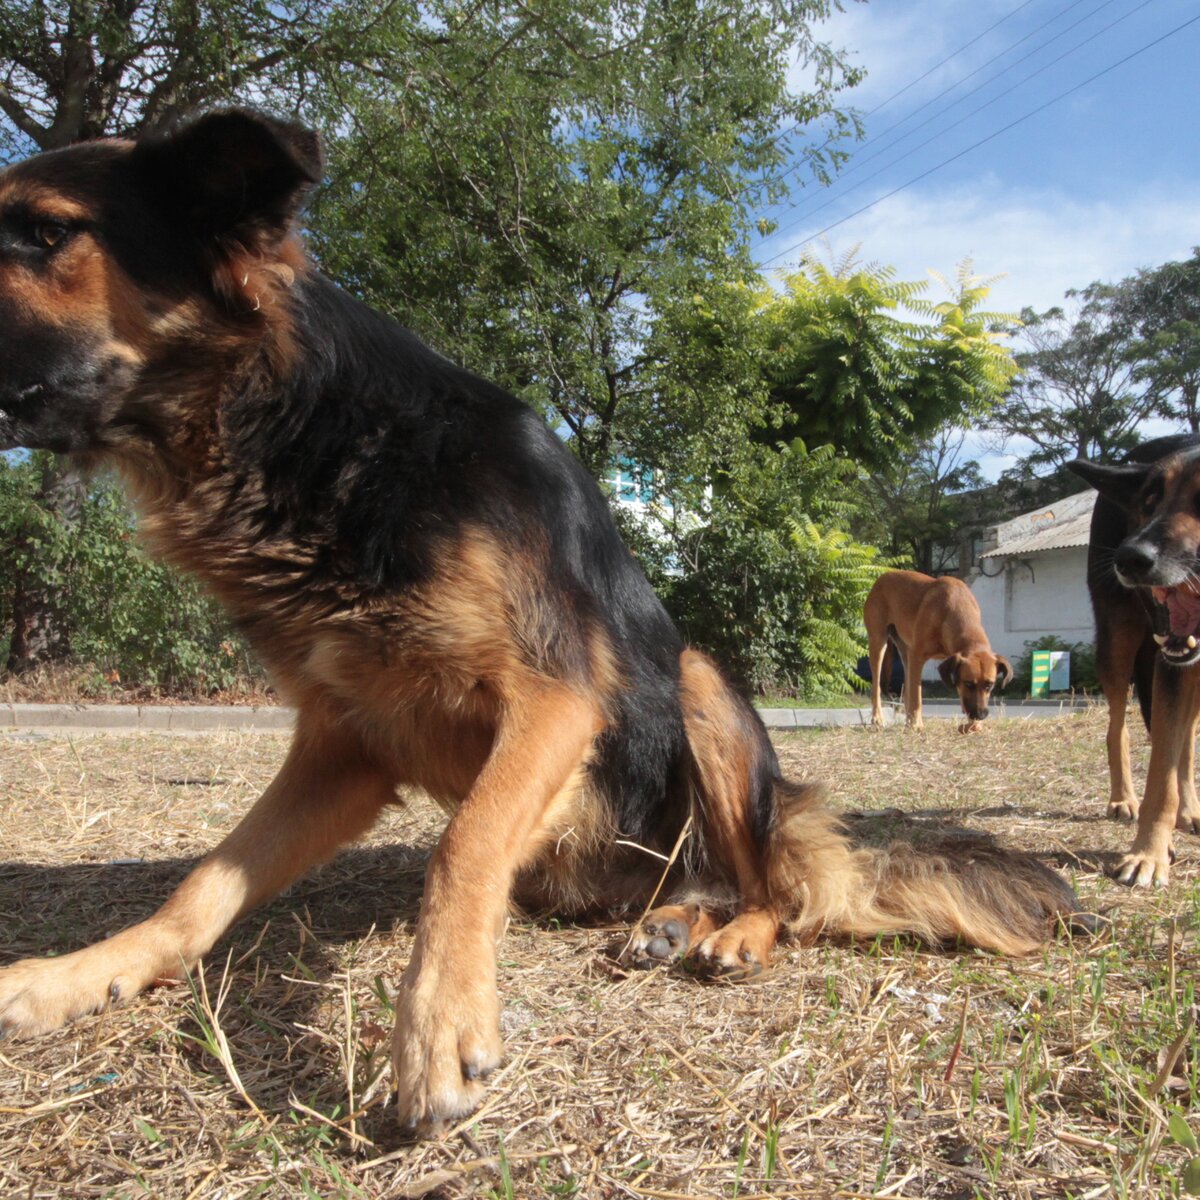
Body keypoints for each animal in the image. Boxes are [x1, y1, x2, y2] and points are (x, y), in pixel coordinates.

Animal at [868, 571, 1008, 729]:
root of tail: (881, 578)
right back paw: (878, 717)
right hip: (878, 643)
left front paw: (974, 725)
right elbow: (917, 696)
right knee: (877, 686)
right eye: (968, 684)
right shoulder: (917, 655)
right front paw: (917, 725)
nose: (981, 715)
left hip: (905, 651)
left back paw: (907, 720)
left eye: (989, 685)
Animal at [1070, 436, 1200, 888]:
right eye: (1149, 501)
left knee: (1186, 743)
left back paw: (1189, 810)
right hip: (1118, 643)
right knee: (1117, 729)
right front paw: (1148, 855)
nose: (1129, 558)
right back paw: (1124, 799)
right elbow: (1160, 777)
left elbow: (1176, 753)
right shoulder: (1171, 664)